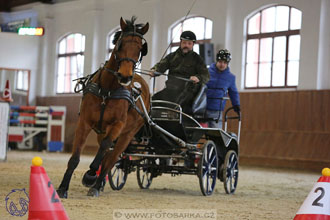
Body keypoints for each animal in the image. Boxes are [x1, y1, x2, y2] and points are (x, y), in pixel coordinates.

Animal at [56, 16, 150, 198]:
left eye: (140, 49)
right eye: (120, 44)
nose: (125, 76)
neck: (107, 90)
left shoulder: (118, 125)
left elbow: (106, 148)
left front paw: (91, 175)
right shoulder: (84, 122)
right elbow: (75, 158)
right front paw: (63, 188)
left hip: (127, 134)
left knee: (111, 158)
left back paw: (96, 184)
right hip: (102, 131)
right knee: (107, 155)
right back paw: (99, 184)